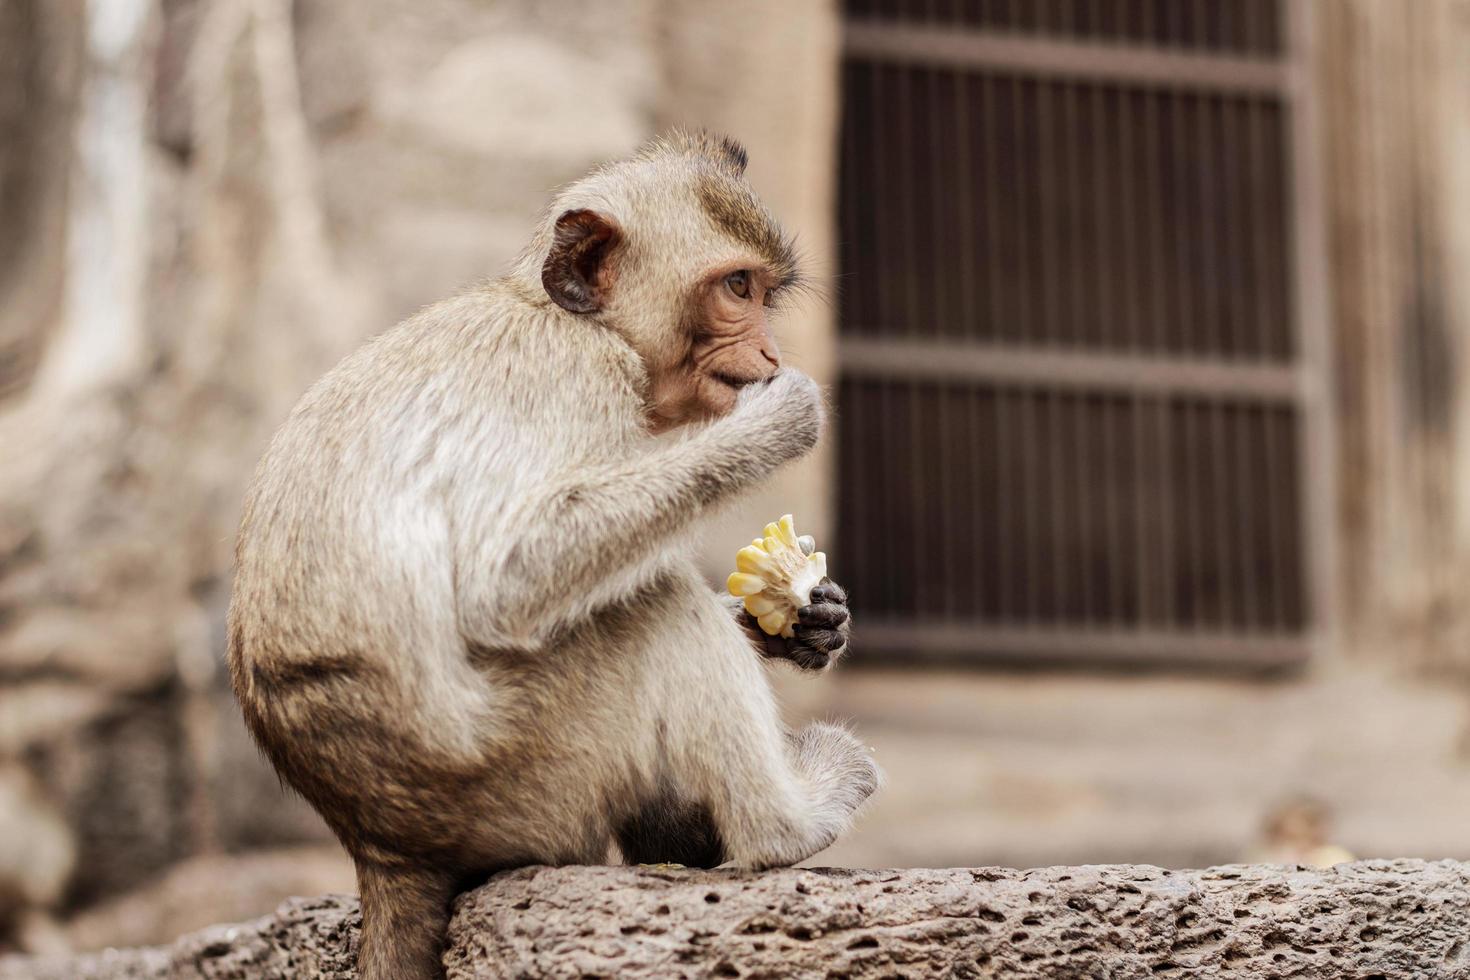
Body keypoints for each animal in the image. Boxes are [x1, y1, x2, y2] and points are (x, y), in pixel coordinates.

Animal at [223, 132, 876, 980]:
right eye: (737, 288)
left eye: (765, 292)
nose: (768, 350)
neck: (567, 317)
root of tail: (380, 846)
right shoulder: (578, 376)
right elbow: (509, 577)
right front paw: (776, 422)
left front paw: (801, 622)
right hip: (526, 772)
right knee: (656, 605)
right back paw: (788, 825)